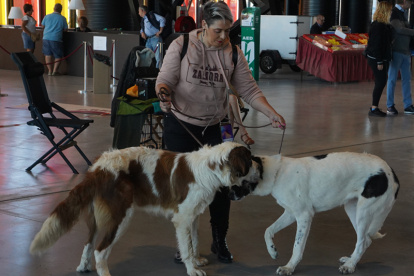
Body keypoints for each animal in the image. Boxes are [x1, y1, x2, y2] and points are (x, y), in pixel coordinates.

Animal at [30, 142, 260, 276]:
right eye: (249, 160)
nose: (260, 164)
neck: (211, 168)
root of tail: (98, 169)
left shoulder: (192, 216)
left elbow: (193, 241)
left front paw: (197, 261)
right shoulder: (183, 218)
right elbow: (186, 246)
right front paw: (192, 268)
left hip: (96, 218)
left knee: (88, 243)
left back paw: (83, 267)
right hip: (120, 217)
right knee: (100, 250)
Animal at [228, 152, 400, 274]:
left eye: (237, 178)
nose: (228, 195)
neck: (276, 173)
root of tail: (390, 171)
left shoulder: (304, 216)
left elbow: (297, 247)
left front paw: (289, 267)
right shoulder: (290, 213)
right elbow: (267, 231)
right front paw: (272, 251)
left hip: (364, 212)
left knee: (362, 241)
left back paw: (350, 265)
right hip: (352, 210)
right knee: (365, 240)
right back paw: (351, 260)